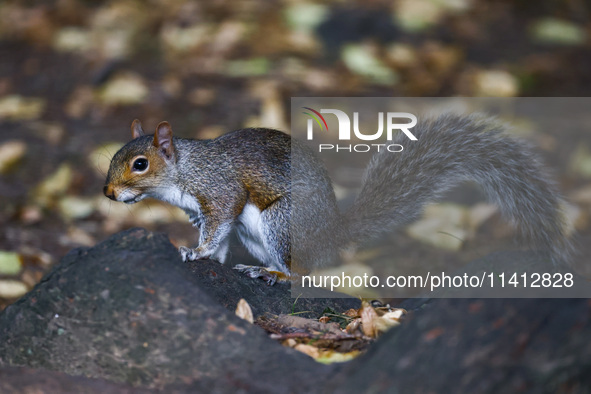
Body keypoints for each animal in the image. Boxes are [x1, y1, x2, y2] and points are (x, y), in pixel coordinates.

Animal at [104, 114, 572, 284]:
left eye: (140, 164)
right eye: (113, 158)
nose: (107, 192)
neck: (184, 170)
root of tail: (333, 233)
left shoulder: (220, 190)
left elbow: (219, 222)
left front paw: (197, 253)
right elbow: (216, 234)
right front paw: (207, 252)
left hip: (282, 222)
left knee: (303, 271)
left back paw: (273, 274)